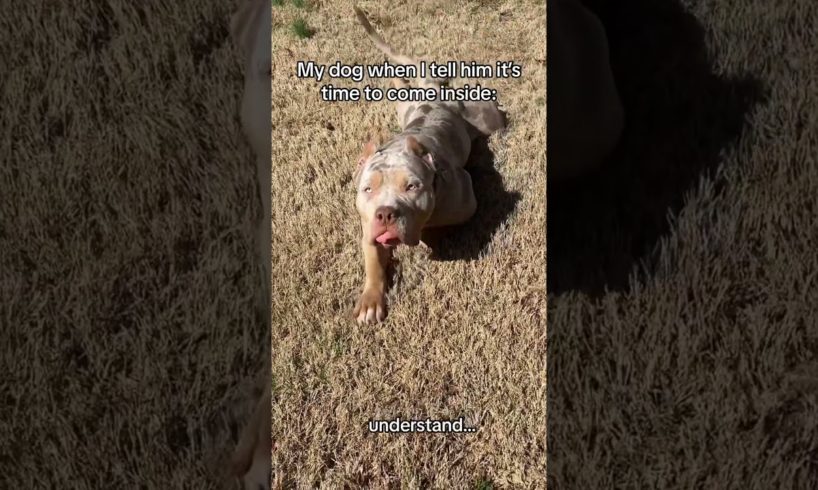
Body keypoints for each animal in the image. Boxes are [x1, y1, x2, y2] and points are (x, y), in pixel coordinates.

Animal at [350, 7, 504, 326]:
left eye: (412, 186)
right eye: (367, 189)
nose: (386, 213)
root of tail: (432, 95)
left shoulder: (466, 199)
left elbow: (438, 225)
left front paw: (426, 237)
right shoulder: (367, 227)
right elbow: (372, 262)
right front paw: (370, 300)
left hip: (489, 120)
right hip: (403, 105)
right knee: (399, 84)